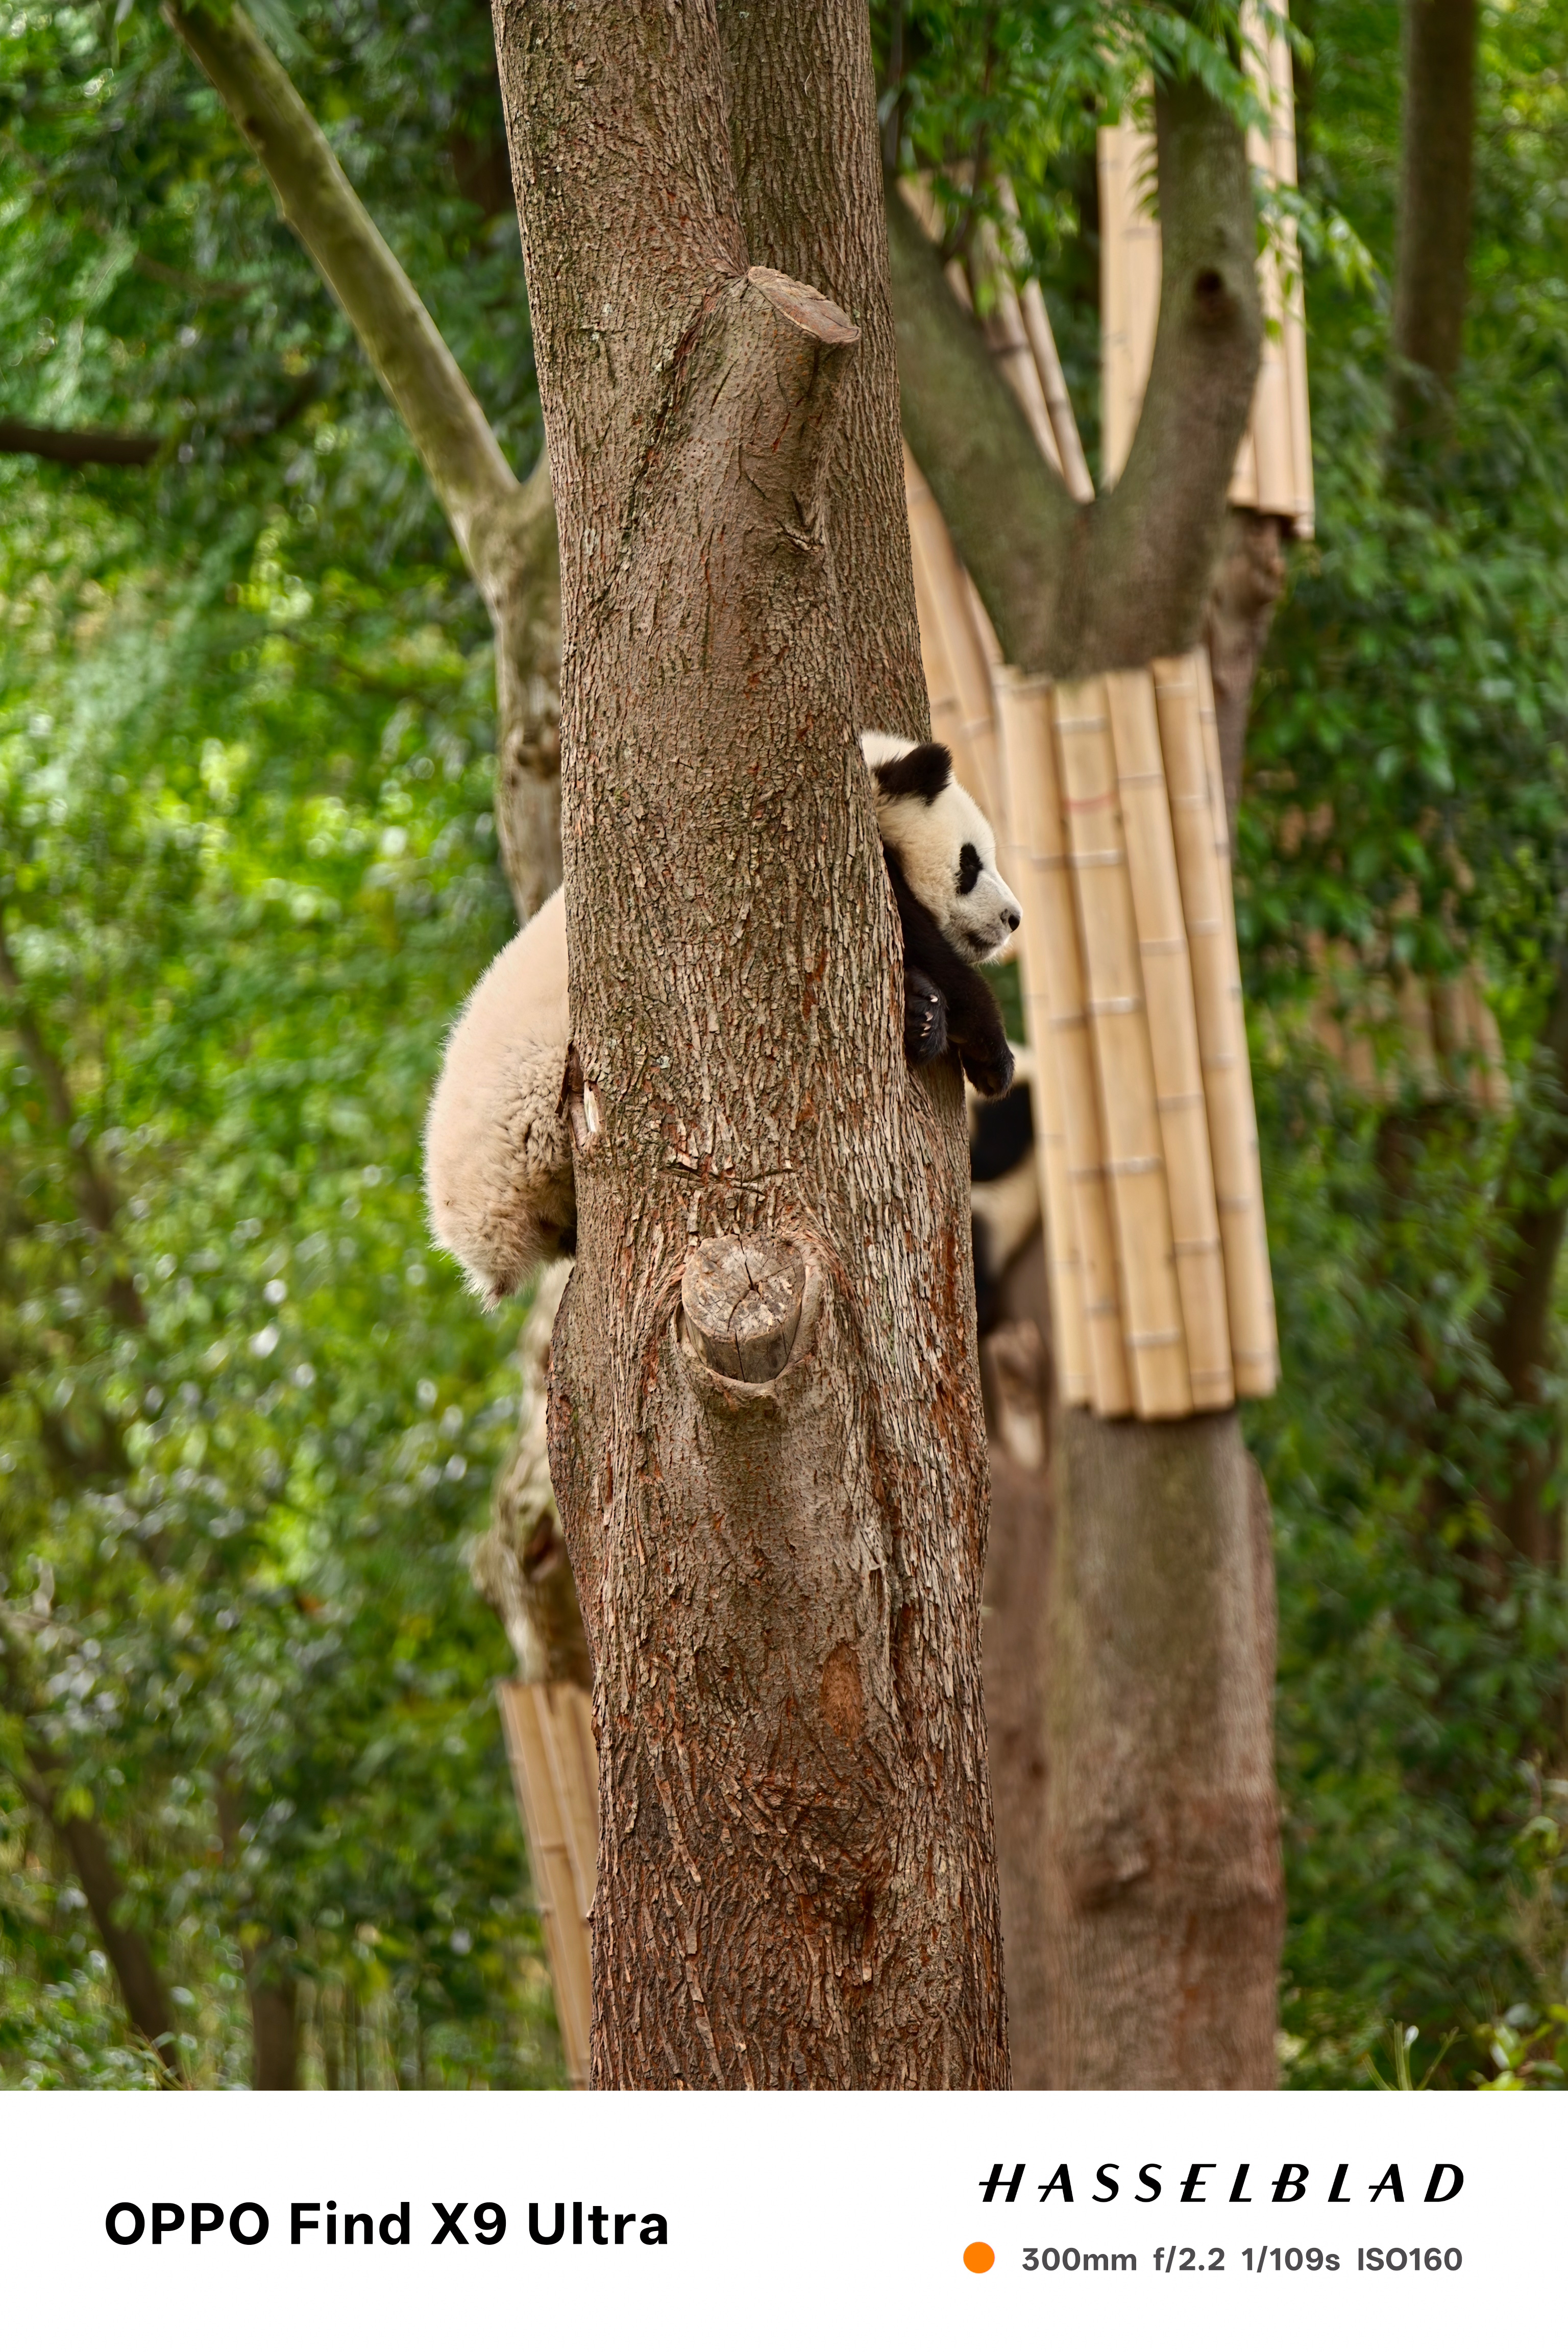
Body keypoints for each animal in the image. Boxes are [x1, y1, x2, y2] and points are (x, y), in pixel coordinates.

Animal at [424, 731, 1023, 1306]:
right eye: (971, 864)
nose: (1013, 918)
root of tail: (479, 1237)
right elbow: (923, 942)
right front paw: (990, 1054)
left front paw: (934, 1022)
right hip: (538, 1101)